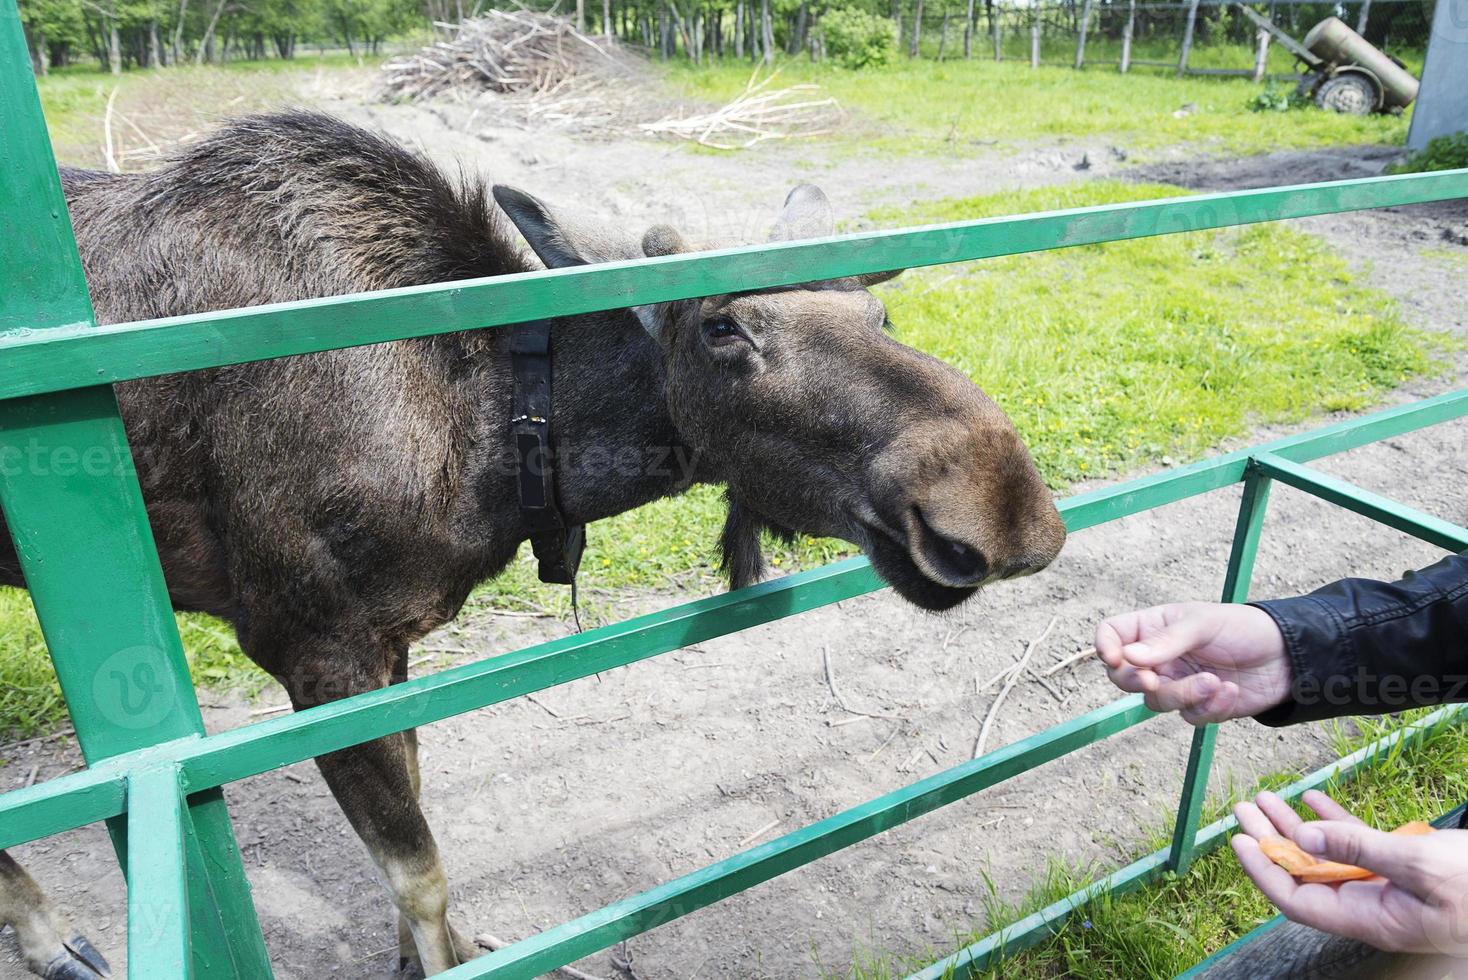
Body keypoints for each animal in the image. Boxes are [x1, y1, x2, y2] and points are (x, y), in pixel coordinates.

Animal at [0, 110, 1062, 974]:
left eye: (880, 310)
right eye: (721, 325)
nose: (1001, 504)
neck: (499, 451)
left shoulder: (387, 644)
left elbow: (416, 829)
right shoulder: (312, 647)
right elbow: (419, 870)